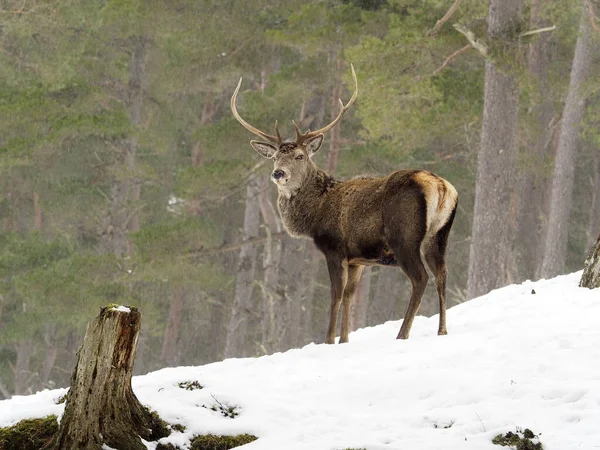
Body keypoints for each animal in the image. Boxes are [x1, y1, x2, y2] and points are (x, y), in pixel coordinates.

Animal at [232, 65, 458, 342]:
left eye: (300, 156)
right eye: (274, 157)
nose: (278, 173)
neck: (314, 215)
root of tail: (440, 186)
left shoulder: (334, 248)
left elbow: (336, 296)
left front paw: (329, 340)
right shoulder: (357, 259)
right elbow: (350, 296)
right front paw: (344, 339)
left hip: (404, 237)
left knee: (420, 278)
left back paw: (402, 334)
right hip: (439, 236)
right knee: (442, 274)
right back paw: (442, 330)